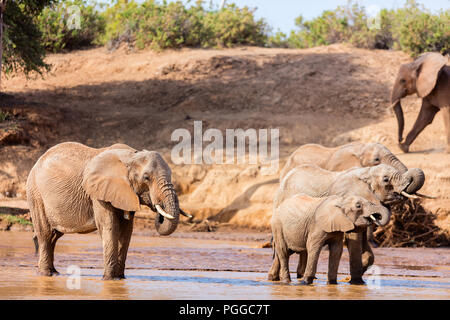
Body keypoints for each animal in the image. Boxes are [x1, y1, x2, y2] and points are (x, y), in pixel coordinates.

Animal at [26, 142, 191, 280]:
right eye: (146, 178)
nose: (158, 208)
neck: (131, 156)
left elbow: (126, 231)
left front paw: (120, 278)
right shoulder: (98, 193)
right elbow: (110, 227)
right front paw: (110, 280)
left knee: (55, 236)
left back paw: (54, 272)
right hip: (35, 193)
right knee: (45, 233)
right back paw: (46, 274)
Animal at [274, 164, 426, 284]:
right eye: (385, 179)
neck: (366, 172)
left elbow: (366, 249)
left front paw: (357, 275)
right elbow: (353, 239)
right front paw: (356, 282)